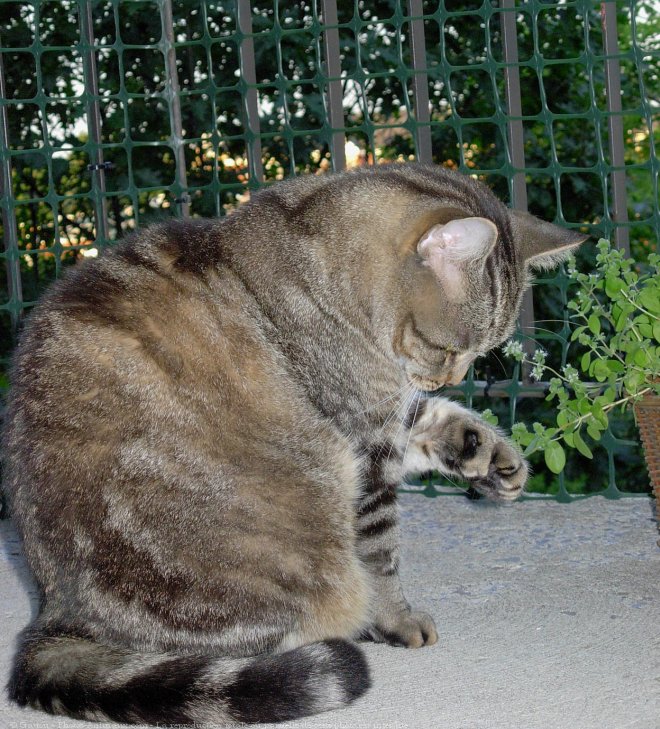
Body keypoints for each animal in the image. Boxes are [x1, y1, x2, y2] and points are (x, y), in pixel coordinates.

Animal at [2, 162, 584, 724]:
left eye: (477, 353)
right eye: (450, 348)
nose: (450, 377)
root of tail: (57, 613)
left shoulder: (388, 415)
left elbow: (440, 420)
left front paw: (495, 458)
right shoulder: (365, 447)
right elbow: (381, 556)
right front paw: (396, 620)